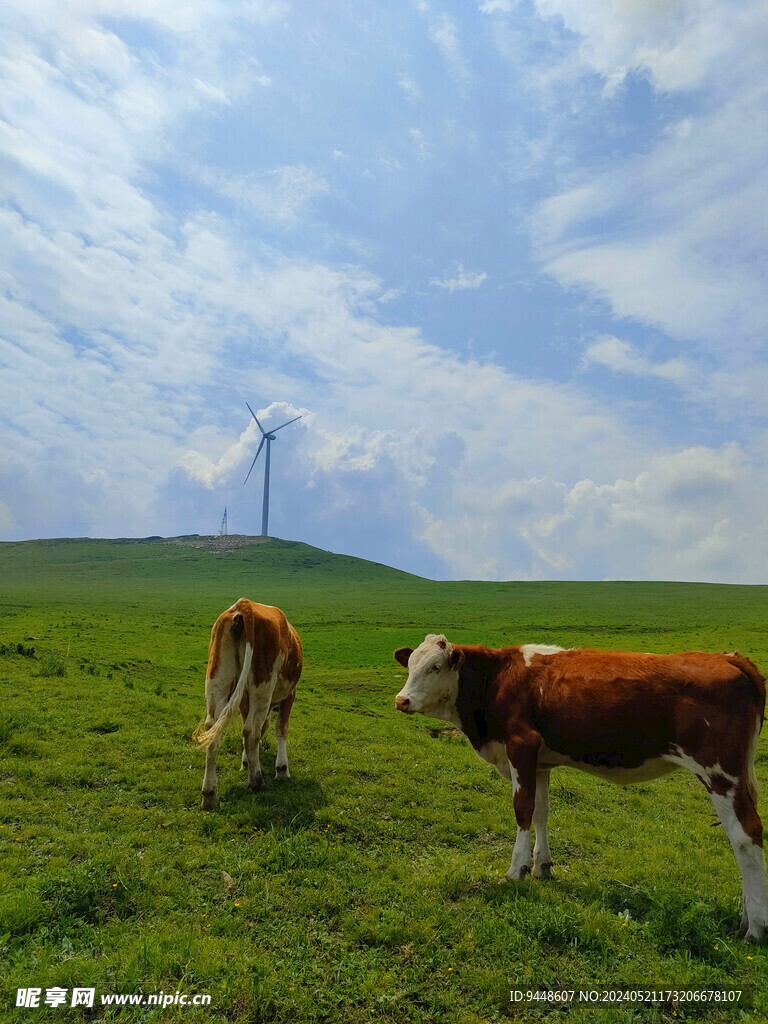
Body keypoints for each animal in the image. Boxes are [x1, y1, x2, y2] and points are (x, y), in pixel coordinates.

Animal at [193, 598, 303, 806]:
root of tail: (244, 604)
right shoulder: (289, 695)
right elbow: (280, 729)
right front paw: (282, 769)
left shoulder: (245, 701)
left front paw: (245, 760)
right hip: (263, 682)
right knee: (252, 730)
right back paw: (257, 781)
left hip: (217, 678)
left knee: (213, 730)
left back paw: (210, 793)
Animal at [393, 634, 765, 937]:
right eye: (410, 665)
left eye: (436, 666)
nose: (401, 701)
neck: (497, 680)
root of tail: (729, 658)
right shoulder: (540, 762)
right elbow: (541, 812)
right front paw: (542, 866)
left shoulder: (520, 748)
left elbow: (522, 810)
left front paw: (516, 870)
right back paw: (745, 919)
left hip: (720, 773)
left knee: (745, 836)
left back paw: (756, 928)